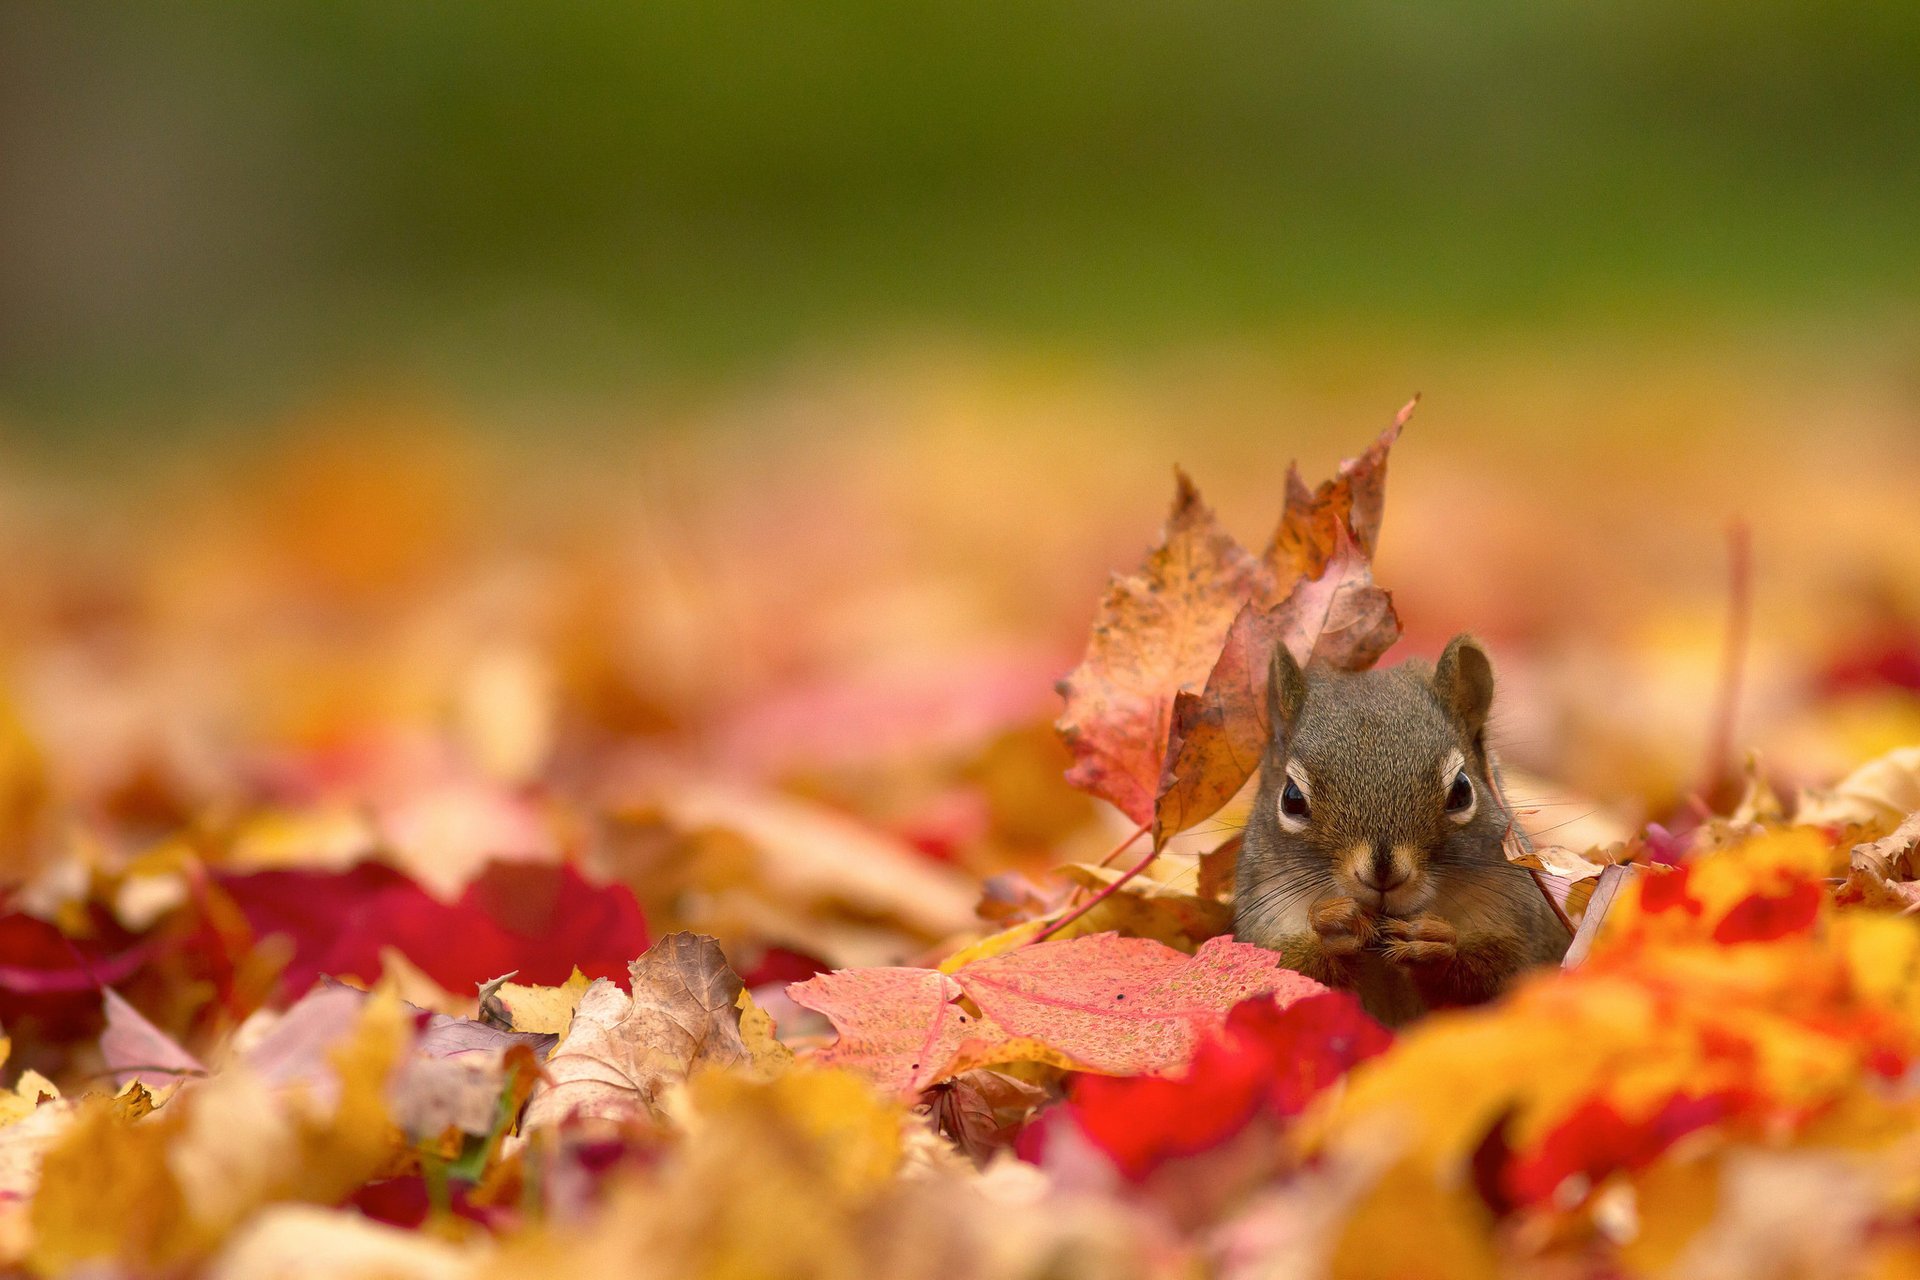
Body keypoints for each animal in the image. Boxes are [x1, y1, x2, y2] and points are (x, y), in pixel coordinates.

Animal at [1228, 637, 1574, 1028]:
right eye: (1291, 799)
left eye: (1462, 790)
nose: (1382, 872)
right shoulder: (1264, 928)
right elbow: (1289, 972)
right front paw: (1333, 926)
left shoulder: (1525, 926)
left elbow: (1505, 972)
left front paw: (1435, 944)